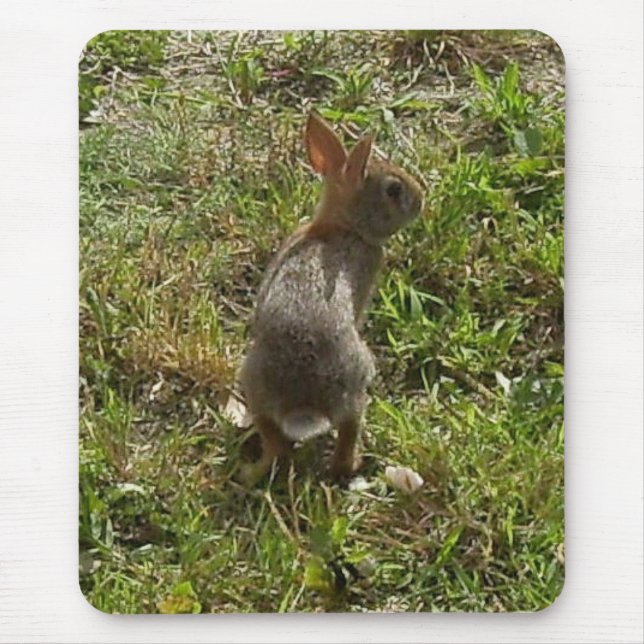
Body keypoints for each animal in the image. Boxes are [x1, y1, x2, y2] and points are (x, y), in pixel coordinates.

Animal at [238, 110, 424, 485]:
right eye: (394, 190)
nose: (421, 200)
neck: (344, 227)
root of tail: (305, 404)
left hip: (253, 385)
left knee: (275, 446)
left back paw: (249, 472)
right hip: (356, 381)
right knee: (349, 430)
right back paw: (354, 463)